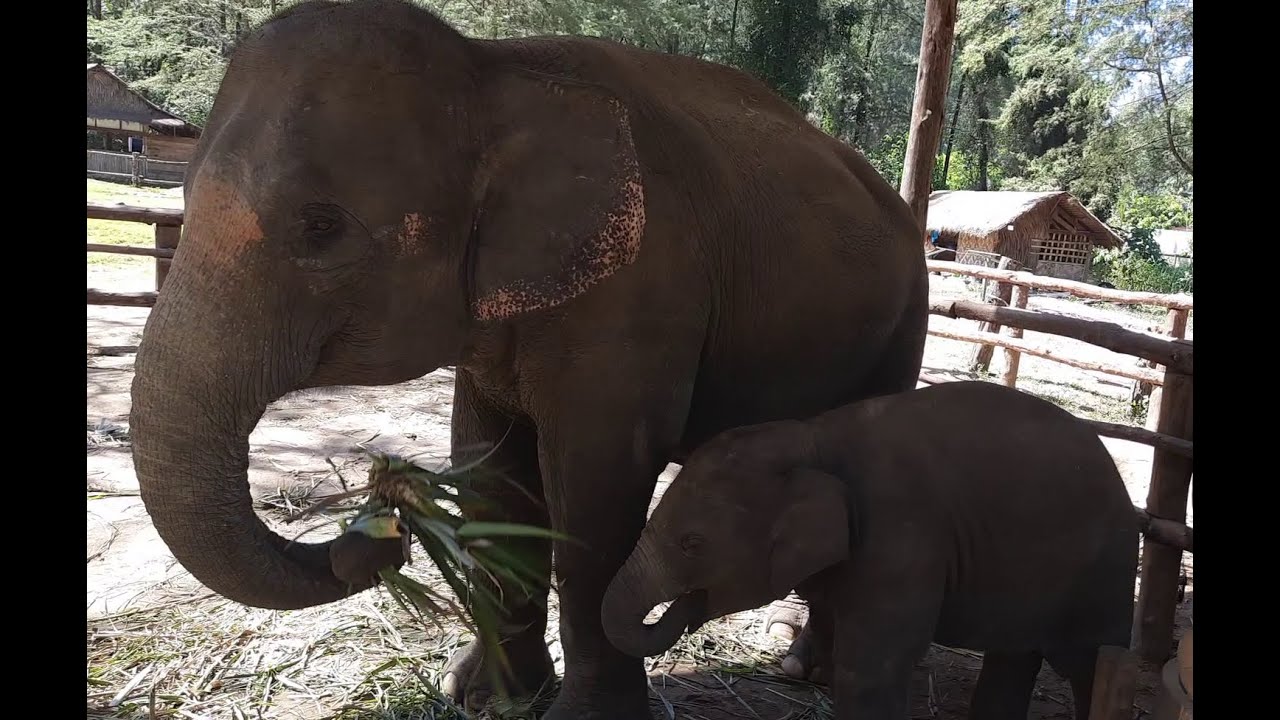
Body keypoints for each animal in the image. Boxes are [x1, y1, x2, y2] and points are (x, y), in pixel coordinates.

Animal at [127, 1, 928, 718]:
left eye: (321, 229)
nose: (381, 534)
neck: (494, 72)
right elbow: (489, 476)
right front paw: (484, 696)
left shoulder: (641, 293)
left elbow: (594, 498)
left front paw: (583, 716)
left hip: (905, 318)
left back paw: (809, 670)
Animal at [603, 381, 1139, 720]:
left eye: (692, 544)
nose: (685, 609)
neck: (812, 438)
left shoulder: (902, 538)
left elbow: (869, 667)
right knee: (1014, 655)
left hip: (1104, 570)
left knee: (1086, 662)